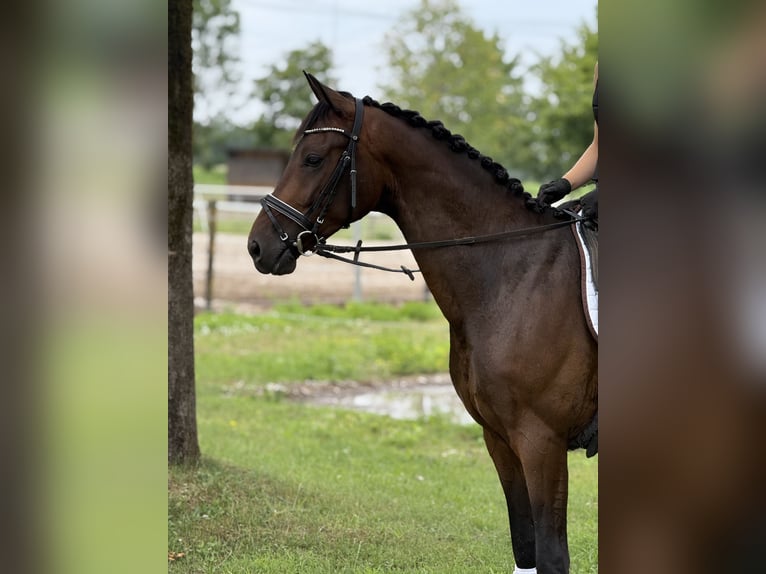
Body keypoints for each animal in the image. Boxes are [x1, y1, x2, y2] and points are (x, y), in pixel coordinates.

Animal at [247, 73, 597, 574]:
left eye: (312, 158)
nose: (258, 246)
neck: (512, 274)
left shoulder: (541, 442)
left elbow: (552, 557)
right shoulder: (501, 439)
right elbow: (524, 548)